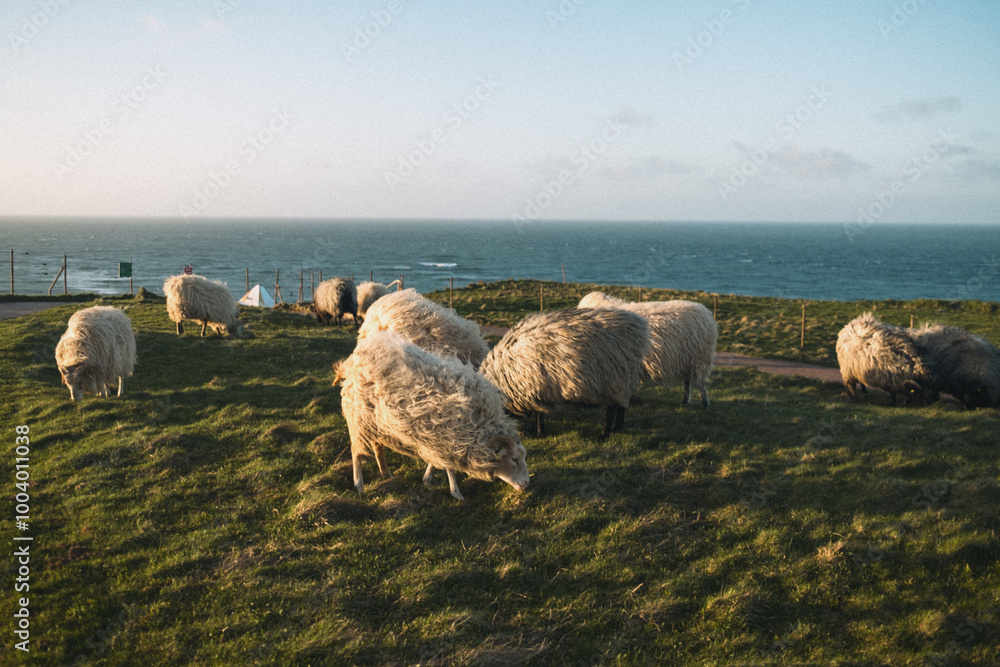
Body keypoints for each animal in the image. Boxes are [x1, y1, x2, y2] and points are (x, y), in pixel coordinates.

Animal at [337, 330, 530, 500]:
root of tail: (356, 358)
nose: (526, 484)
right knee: (356, 452)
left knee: (378, 446)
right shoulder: (448, 439)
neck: (478, 423)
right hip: (358, 420)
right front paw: (456, 492)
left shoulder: (438, 438)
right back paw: (359, 484)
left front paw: (428, 478)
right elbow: (450, 468)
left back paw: (385, 472)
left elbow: (436, 462)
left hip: (375, 422)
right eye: (514, 459)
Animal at [479, 307, 650, 439]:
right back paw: (617, 427)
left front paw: (539, 432)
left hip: (616, 378)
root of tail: (639, 326)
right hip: (624, 379)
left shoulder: (535, 388)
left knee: (612, 407)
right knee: (621, 406)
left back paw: (604, 434)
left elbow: (539, 414)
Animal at [578, 291, 717, 409]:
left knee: (700, 383)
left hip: (700, 358)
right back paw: (685, 400)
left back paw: (705, 404)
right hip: (687, 359)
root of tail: (706, 314)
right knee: (687, 381)